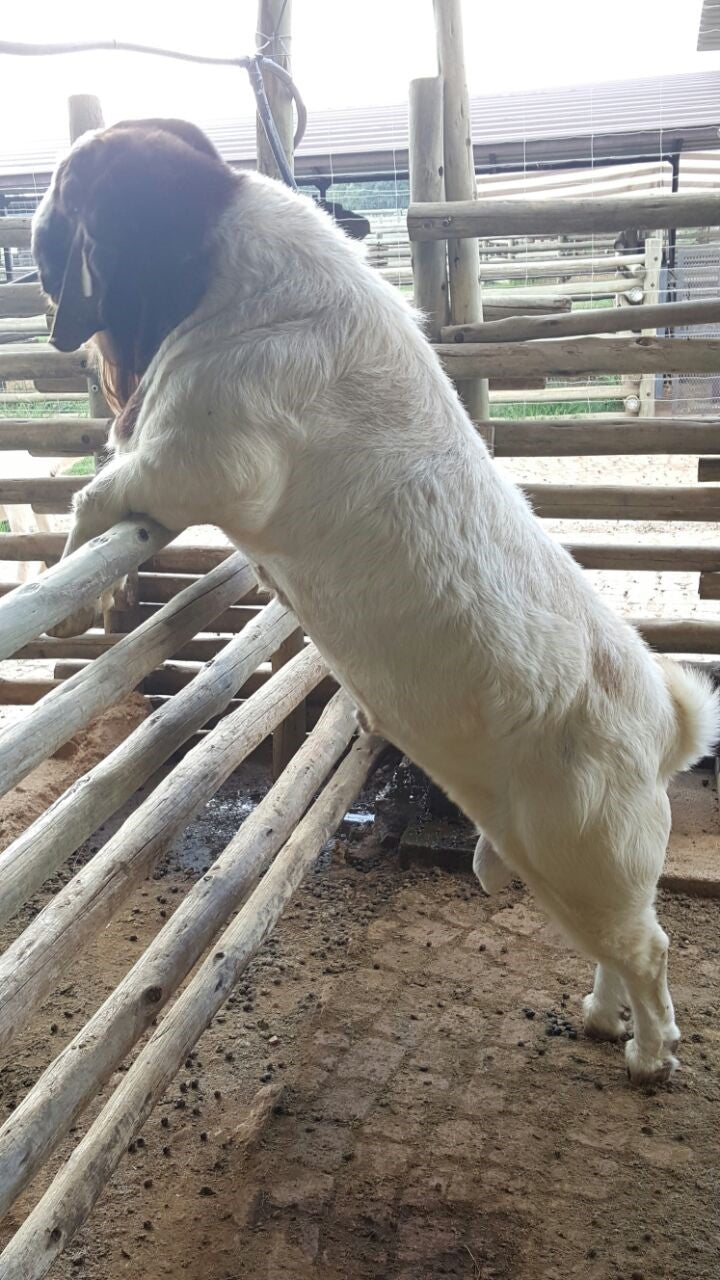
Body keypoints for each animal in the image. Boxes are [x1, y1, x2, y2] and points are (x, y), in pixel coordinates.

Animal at [33, 120, 717, 1085]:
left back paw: (649, 1062)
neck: (217, 279)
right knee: (613, 951)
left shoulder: (211, 452)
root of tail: (667, 728)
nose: (35, 248)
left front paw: (62, 612)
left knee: (649, 948)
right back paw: (592, 1021)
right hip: (563, 861)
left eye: (70, 193)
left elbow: (104, 490)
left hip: (596, 847)